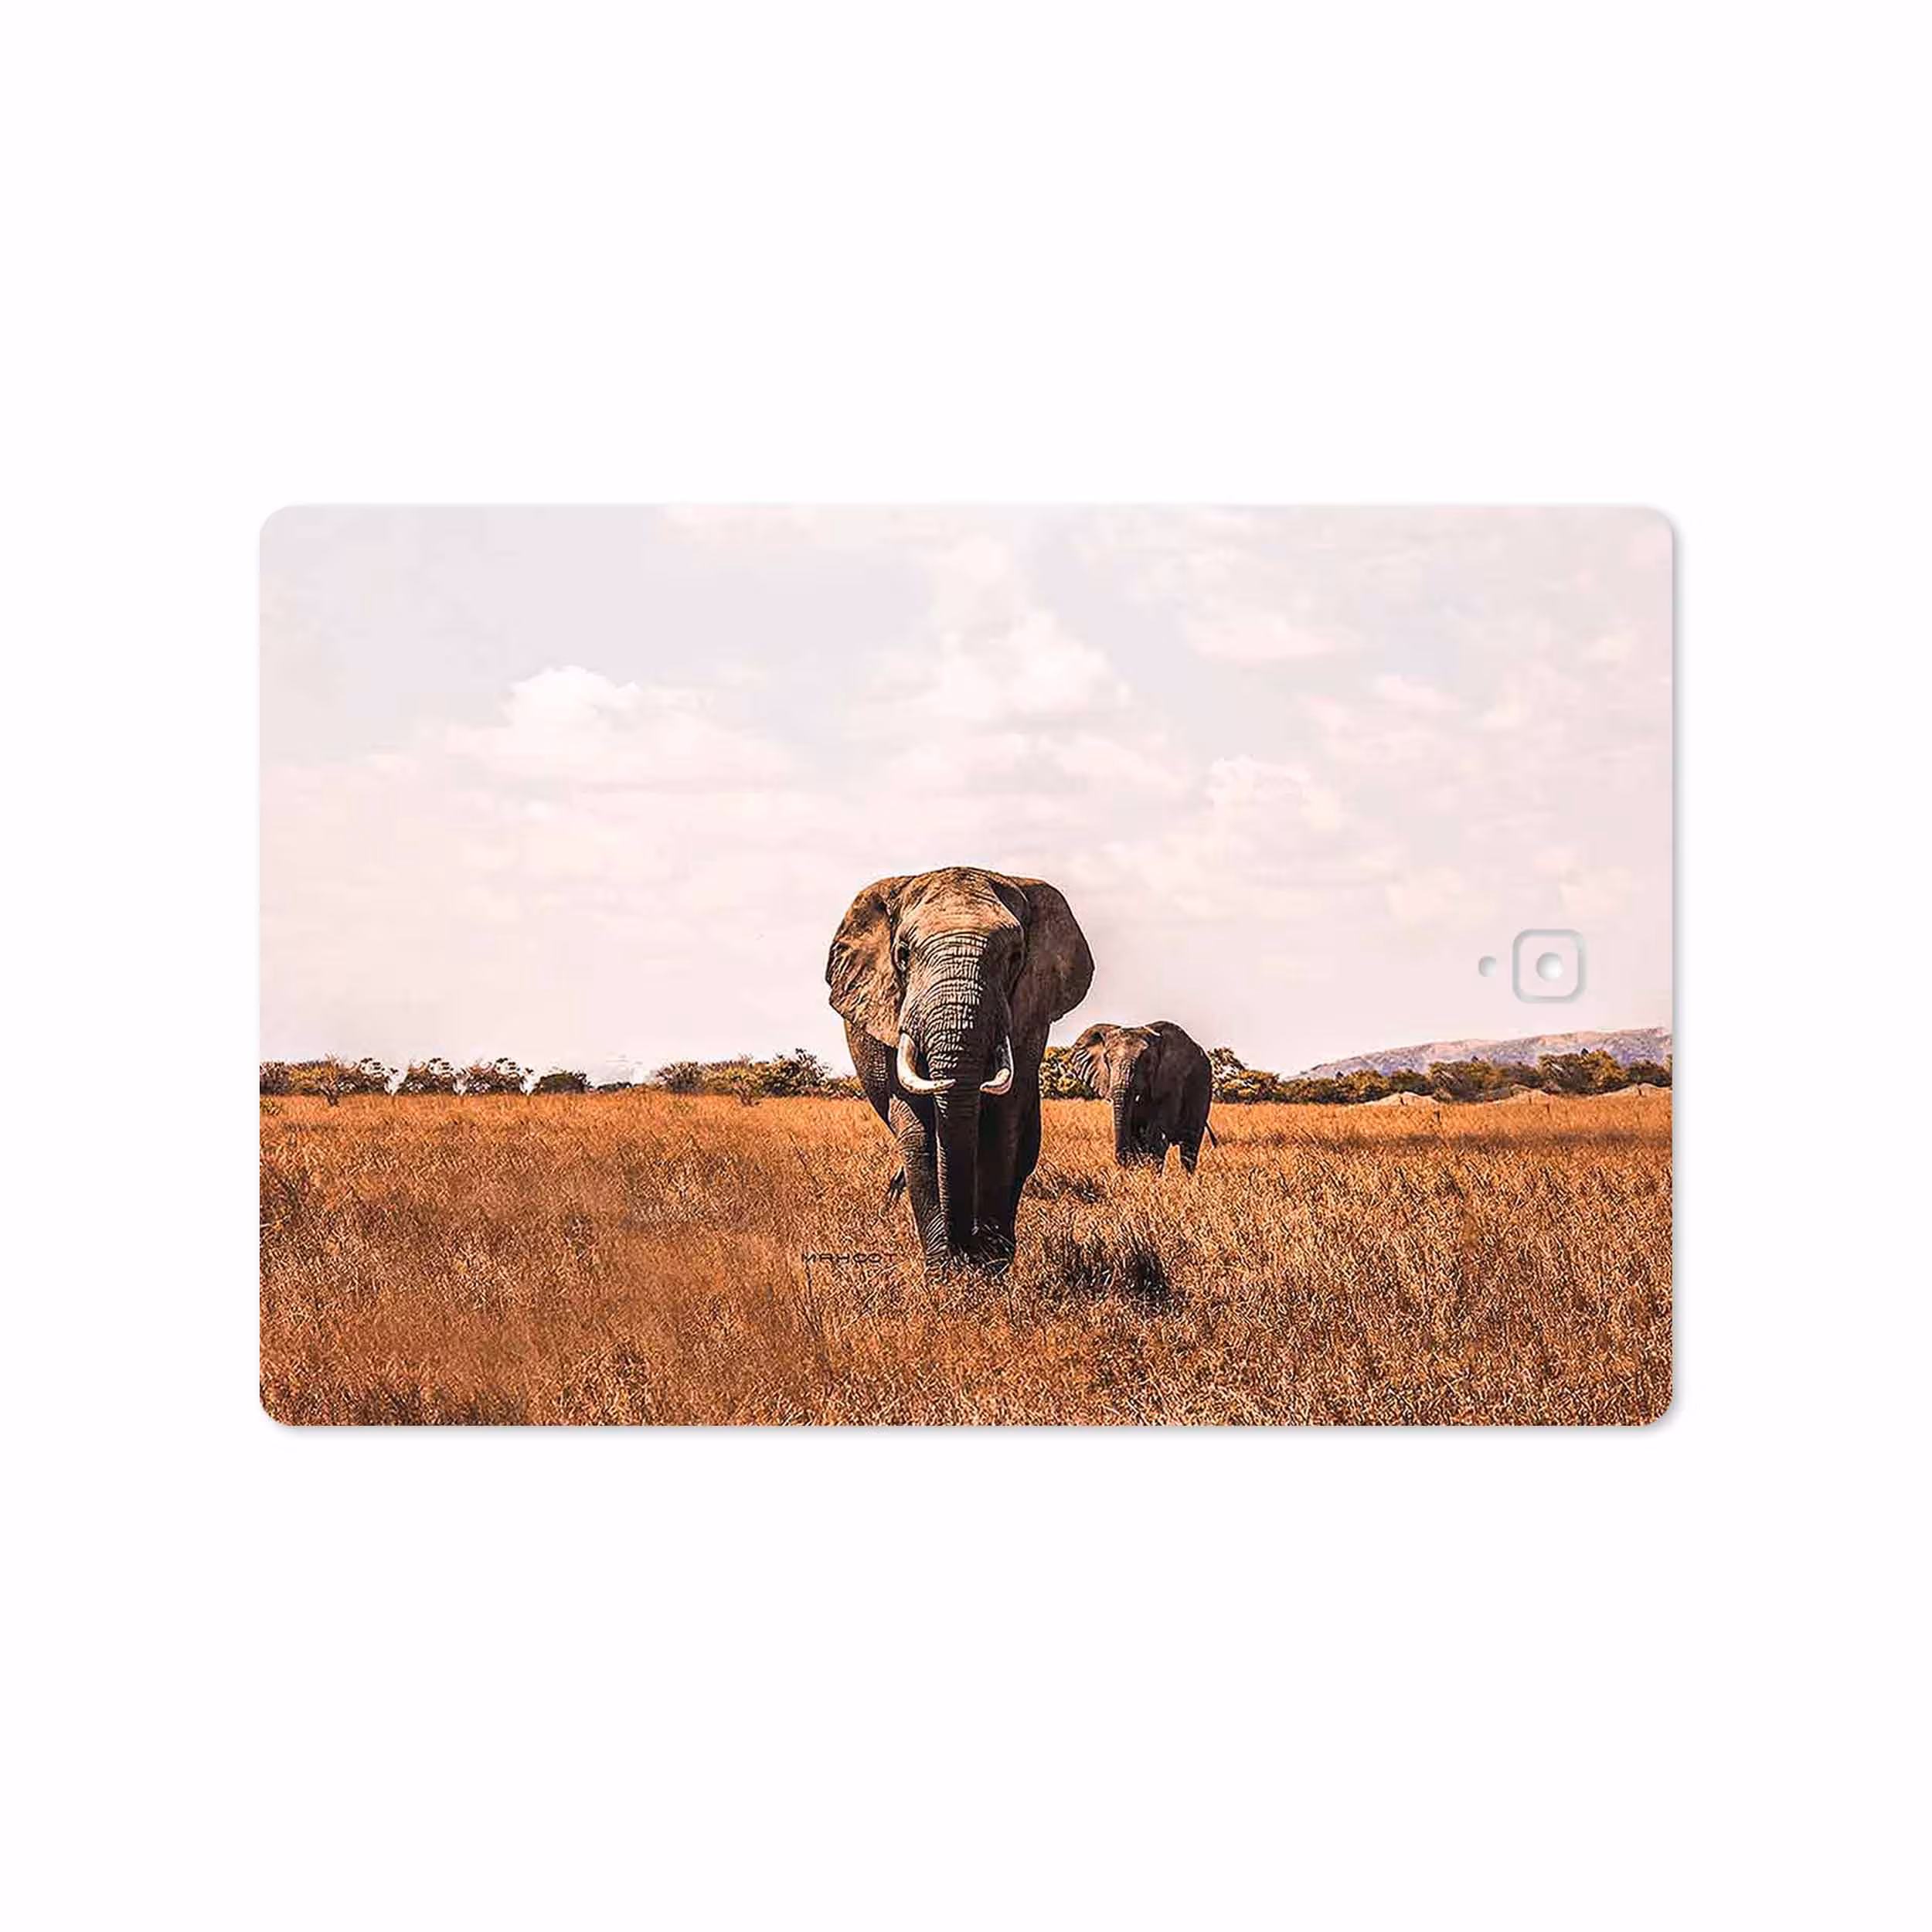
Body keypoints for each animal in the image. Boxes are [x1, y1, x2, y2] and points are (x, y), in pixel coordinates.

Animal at [827, 865, 1094, 1270]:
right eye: (903, 955)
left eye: (1015, 956)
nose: (965, 1248)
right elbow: (918, 1132)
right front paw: (945, 1273)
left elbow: (1003, 1124)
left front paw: (989, 1268)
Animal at [1071, 1020, 1216, 1173]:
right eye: (1106, 1060)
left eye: (1147, 1061)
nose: (1122, 1164)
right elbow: (1135, 1133)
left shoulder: (1172, 1080)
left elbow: (1157, 1133)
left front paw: (1151, 1174)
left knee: (1189, 1144)